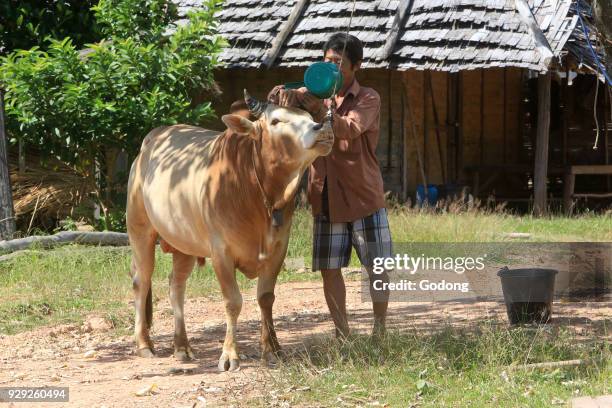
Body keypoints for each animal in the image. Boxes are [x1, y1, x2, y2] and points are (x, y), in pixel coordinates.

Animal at [126, 91, 332, 372]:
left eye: (309, 117)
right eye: (276, 121)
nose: (321, 127)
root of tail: (148, 144)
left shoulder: (278, 249)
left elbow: (266, 298)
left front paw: (272, 349)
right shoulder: (221, 252)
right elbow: (233, 302)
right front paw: (229, 355)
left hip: (183, 244)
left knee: (176, 286)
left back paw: (182, 346)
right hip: (140, 230)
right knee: (141, 282)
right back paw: (144, 344)